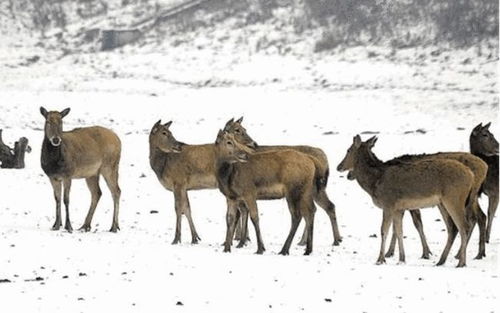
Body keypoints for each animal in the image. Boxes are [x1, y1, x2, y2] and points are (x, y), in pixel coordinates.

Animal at [225, 117, 342, 246]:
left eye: (244, 129)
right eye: (237, 130)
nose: (254, 144)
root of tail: (325, 161)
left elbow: (238, 215)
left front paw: (238, 240)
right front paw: (240, 239)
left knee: (313, 210)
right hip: (317, 188)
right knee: (327, 206)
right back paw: (334, 239)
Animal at [338, 134, 474, 266]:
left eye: (348, 150)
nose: (339, 166)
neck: (375, 182)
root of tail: (470, 175)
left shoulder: (388, 203)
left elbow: (384, 231)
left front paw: (380, 259)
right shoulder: (398, 208)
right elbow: (399, 231)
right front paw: (402, 259)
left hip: (454, 199)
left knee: (464, 226)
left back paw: (461, 262)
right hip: (442, 203)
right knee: (452, 228)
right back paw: (441, 261)